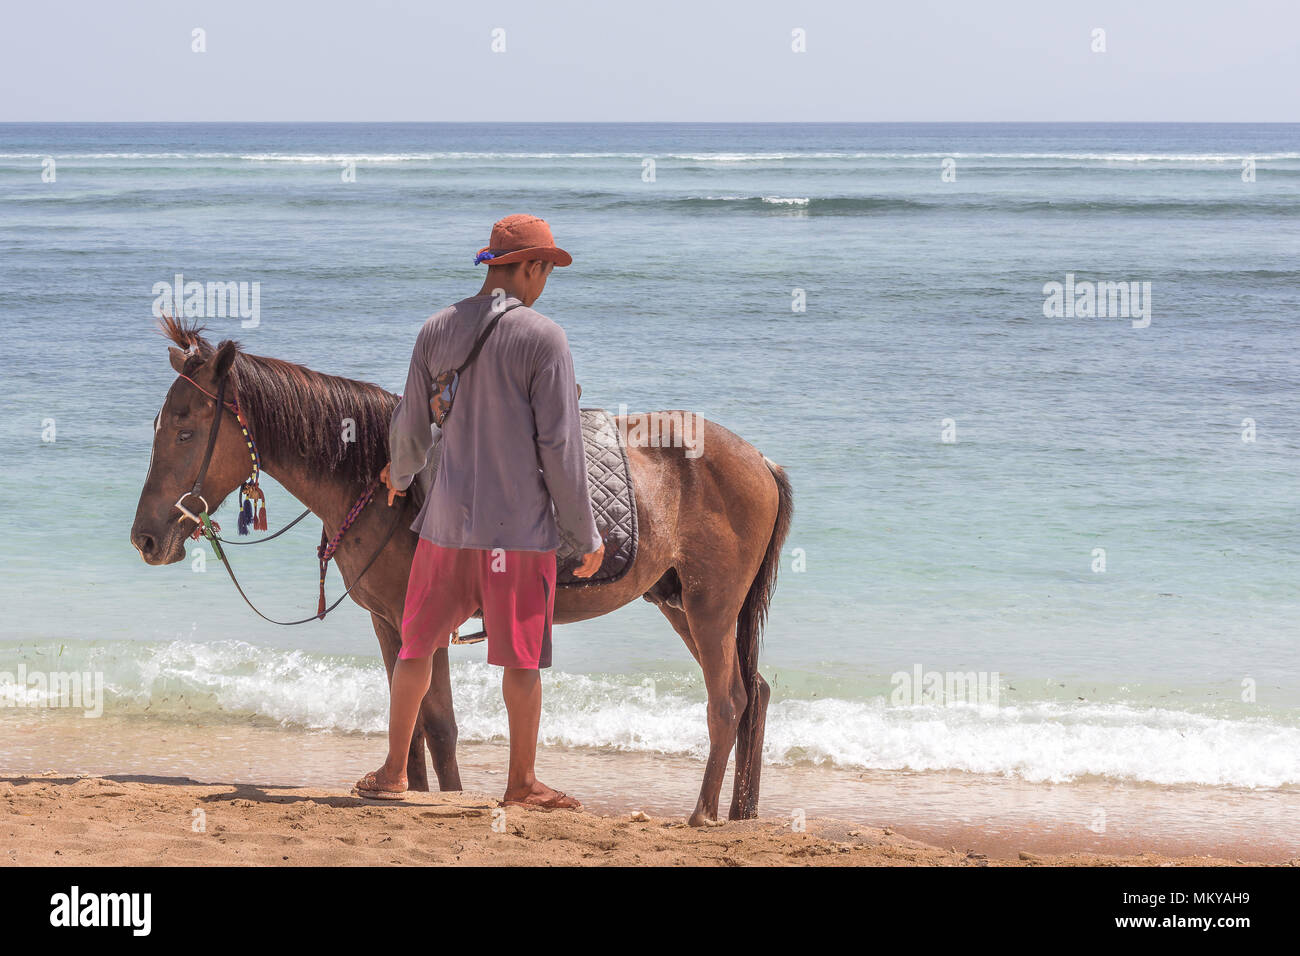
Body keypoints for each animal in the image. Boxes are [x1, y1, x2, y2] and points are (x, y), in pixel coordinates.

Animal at [129, 319, 790, 822]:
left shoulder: (426, 619)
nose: (147, 538)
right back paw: (740, 811)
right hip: (682, 606)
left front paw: (440, 797)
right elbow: (414, 717)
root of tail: (761, 459)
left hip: (710, 609)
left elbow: (440, 723)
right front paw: (409, 790)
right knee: (753, 694)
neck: (382, 482)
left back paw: (703, 813)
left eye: (186, 430)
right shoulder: (389, 622)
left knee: (728, 700)